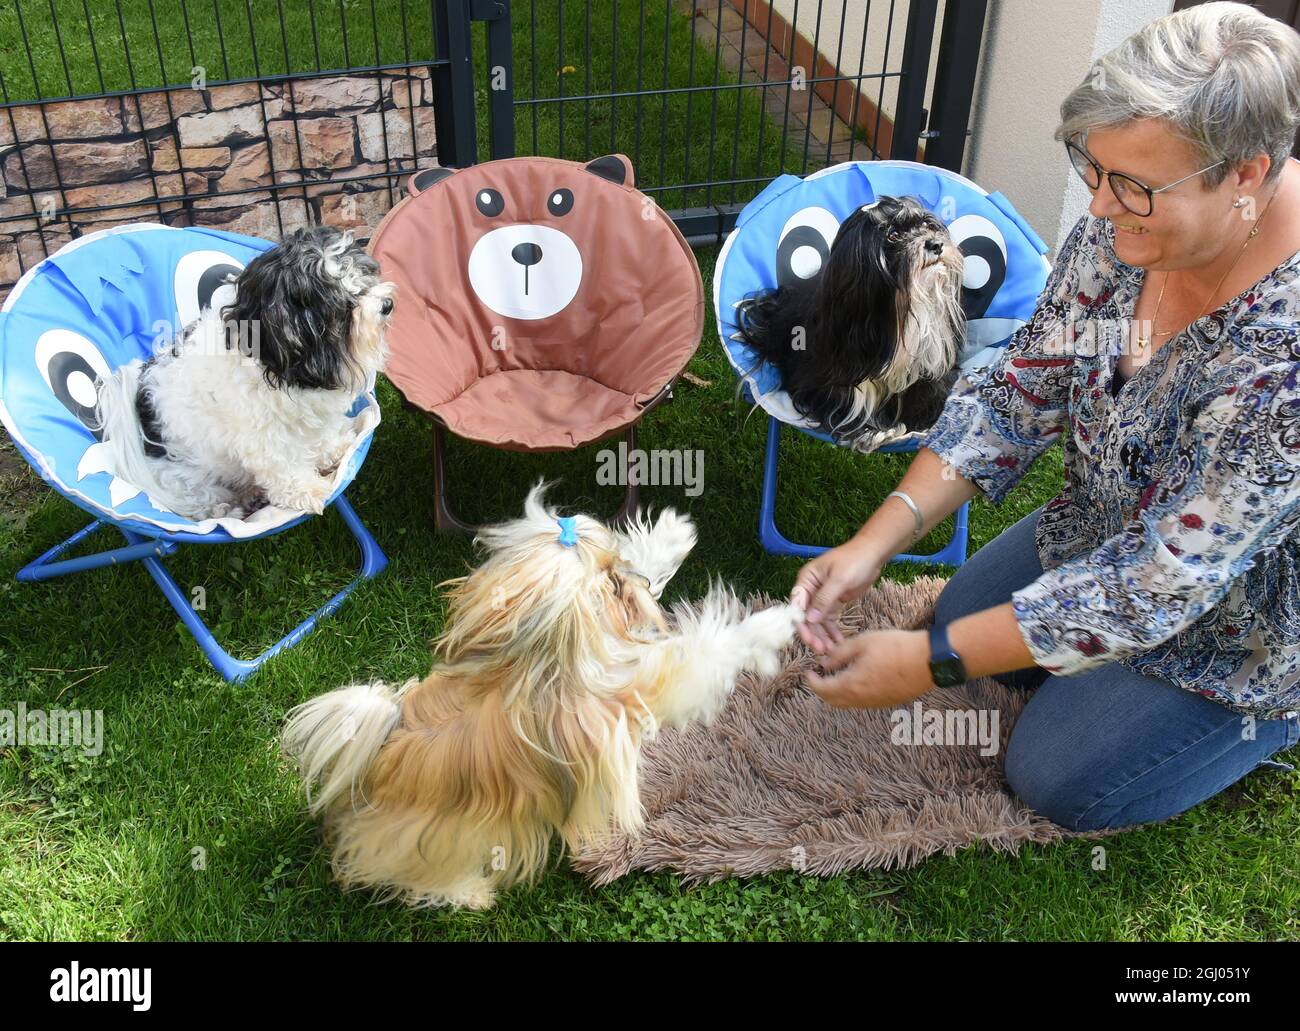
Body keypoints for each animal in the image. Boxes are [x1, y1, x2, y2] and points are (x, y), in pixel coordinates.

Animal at [92, 222, 395, 520]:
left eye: (363, 275)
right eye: (343, 304)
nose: (387, 305)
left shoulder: (313, 417)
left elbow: (322, 436)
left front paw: (336, 448)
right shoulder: (262, 437)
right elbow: (284, 468)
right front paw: (308, 490)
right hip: (182, 480)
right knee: (200, 500)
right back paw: (229, 506)